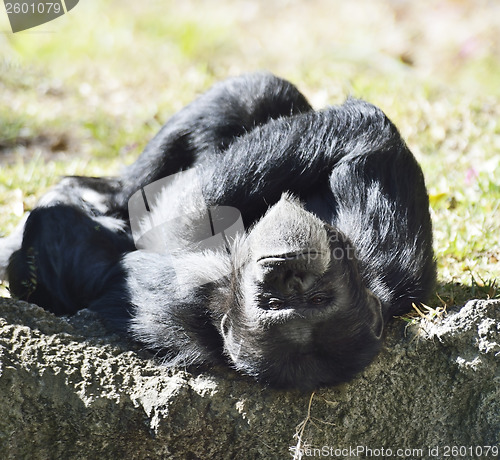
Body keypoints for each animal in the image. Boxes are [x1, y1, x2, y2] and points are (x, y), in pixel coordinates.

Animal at [0, 73, 436, 388]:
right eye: (273, 303)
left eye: (318, 301)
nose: (288, 275)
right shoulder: (394, 261)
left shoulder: (191, 290)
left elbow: (185, 209)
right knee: (257, 94)